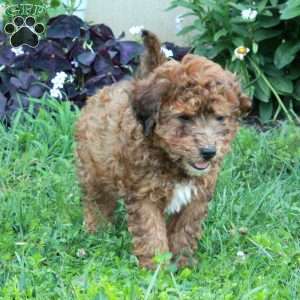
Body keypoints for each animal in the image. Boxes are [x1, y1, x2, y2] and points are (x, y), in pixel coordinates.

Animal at [75, 31, 251, 268]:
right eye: (184, 117)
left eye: (219, 118)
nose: (208, 152)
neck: (172, 162)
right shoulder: (144, 195)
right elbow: (151, 232)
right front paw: (157, 268)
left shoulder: (196, 198)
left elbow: (184, 230)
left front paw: (184, 262)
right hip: (92, 168)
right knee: (97, 200)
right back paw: (98, 230)